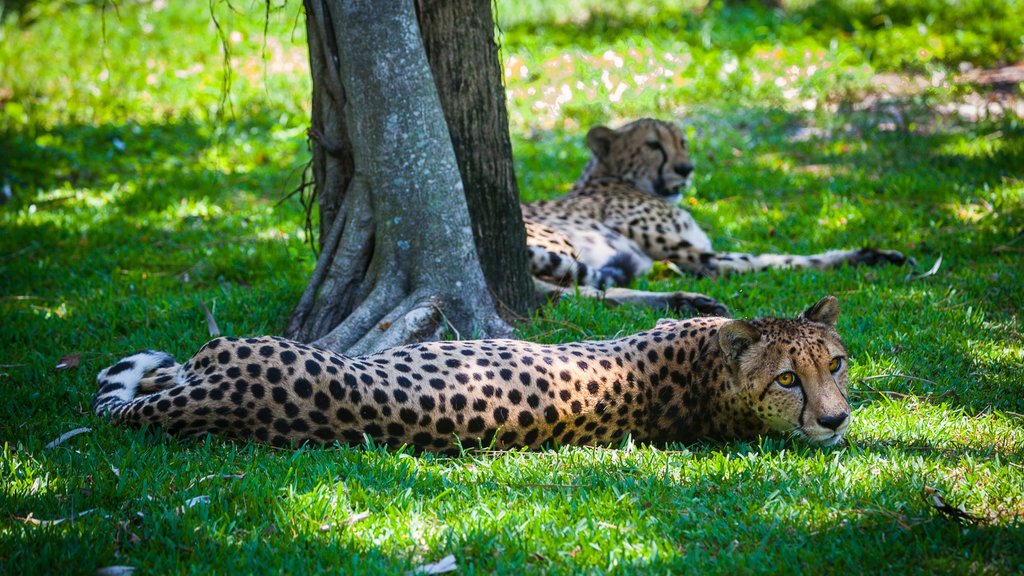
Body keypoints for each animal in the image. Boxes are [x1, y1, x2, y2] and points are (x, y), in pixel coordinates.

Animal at [524, 117, 909, 286]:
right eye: (653, 145)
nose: (686, 168)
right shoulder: (694, 256)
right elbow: (774, 259)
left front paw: (876, 255)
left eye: (682, 142)